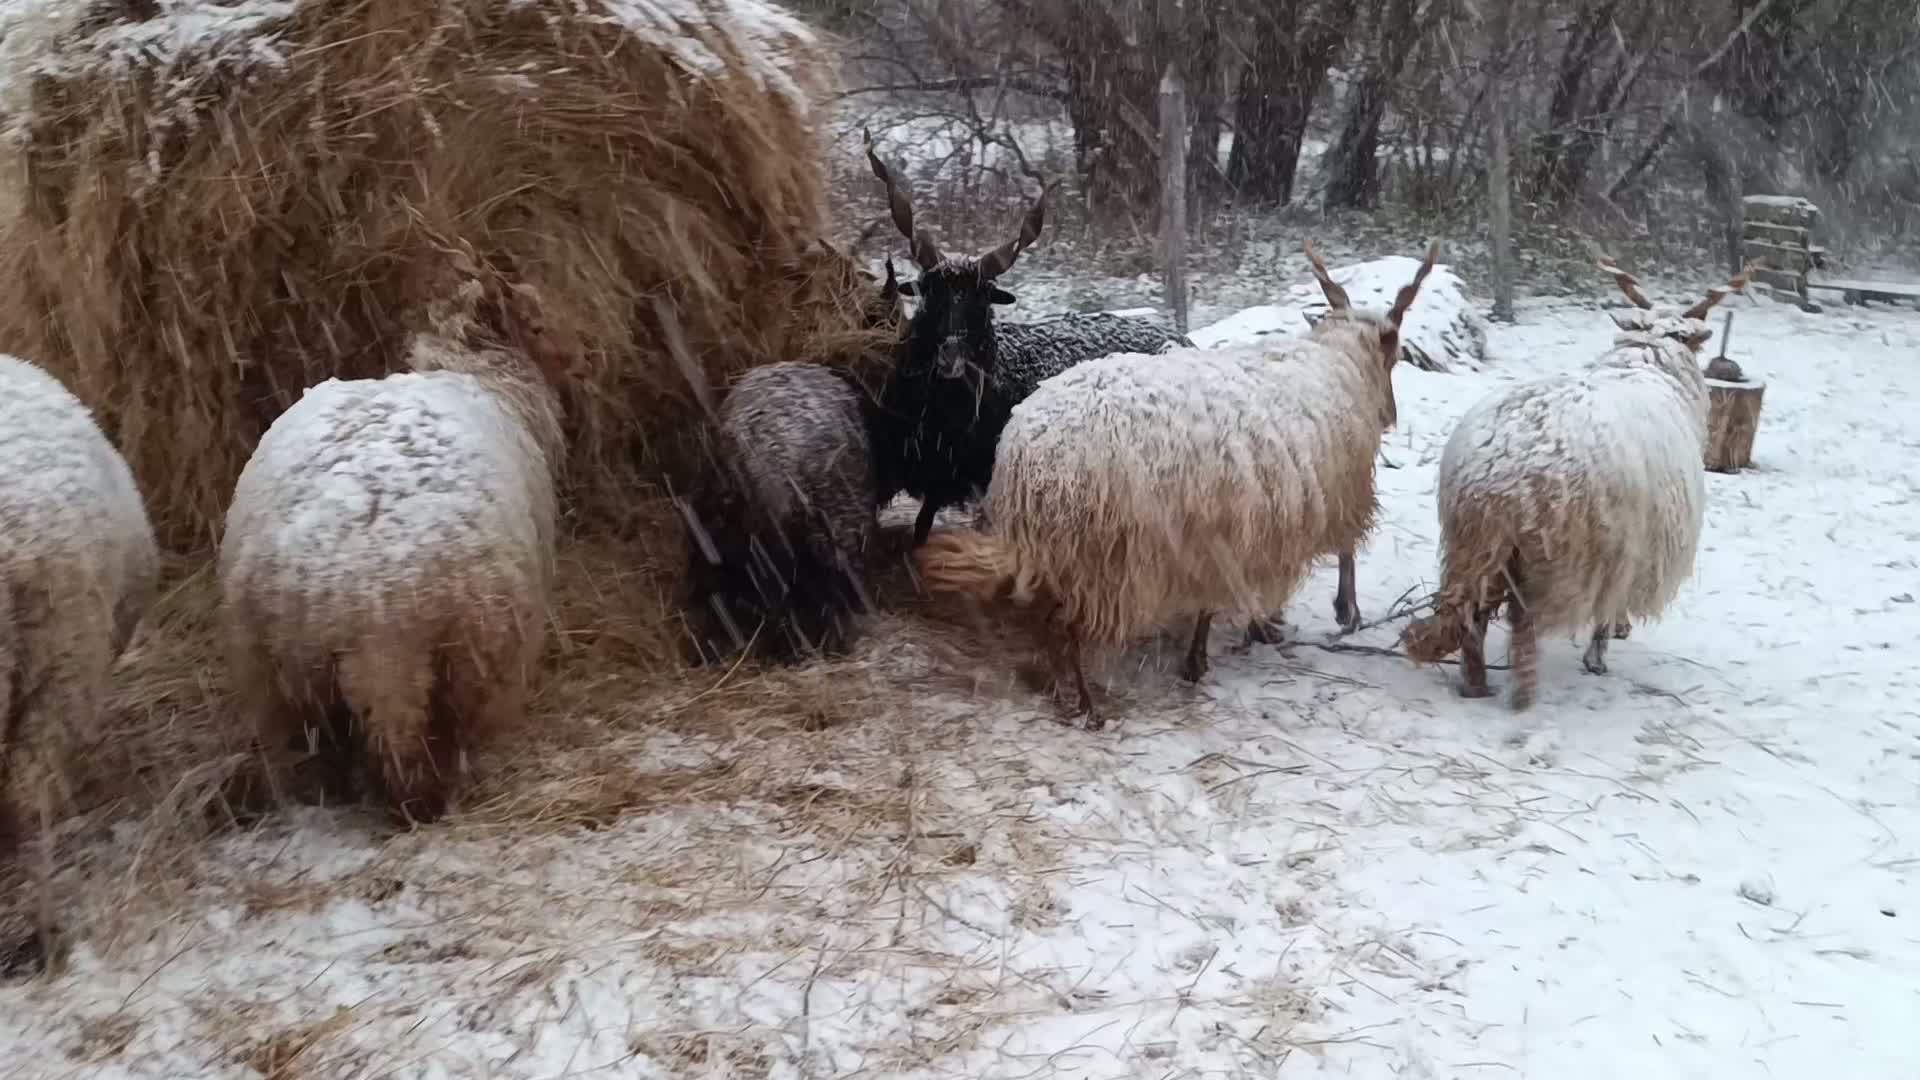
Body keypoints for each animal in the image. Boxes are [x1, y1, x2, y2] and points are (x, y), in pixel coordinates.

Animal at [218, 278, 570, 826]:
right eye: (535, 323)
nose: (575, 359)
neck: (482, 376)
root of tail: (371, 607)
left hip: (288, 676)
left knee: (320, 747)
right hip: (469, 654)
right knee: (433, 741)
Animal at [913, 241, 1440, 726]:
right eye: (1394, 350)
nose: (1391, 416)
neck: (1338, 364)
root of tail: (1026, 453)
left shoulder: (1228, 530)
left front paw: (1226, 643)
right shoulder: (1291, 509)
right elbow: (1342, 552)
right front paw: (1334, 613)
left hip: (1067, 546)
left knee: (1044, 616)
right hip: (1097, 553)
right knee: (1061, 621)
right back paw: (1086, 704)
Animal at [1401, 258, 1750, 710]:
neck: (1646, 364)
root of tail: (1498, 474)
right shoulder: (1626, 554)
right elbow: (1606, 612)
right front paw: (1601, 651)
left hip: (1477, 543)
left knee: (1472, 614)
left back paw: (1476, 685)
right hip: (1553, 553)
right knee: (1522, 622)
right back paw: (1523, 695)